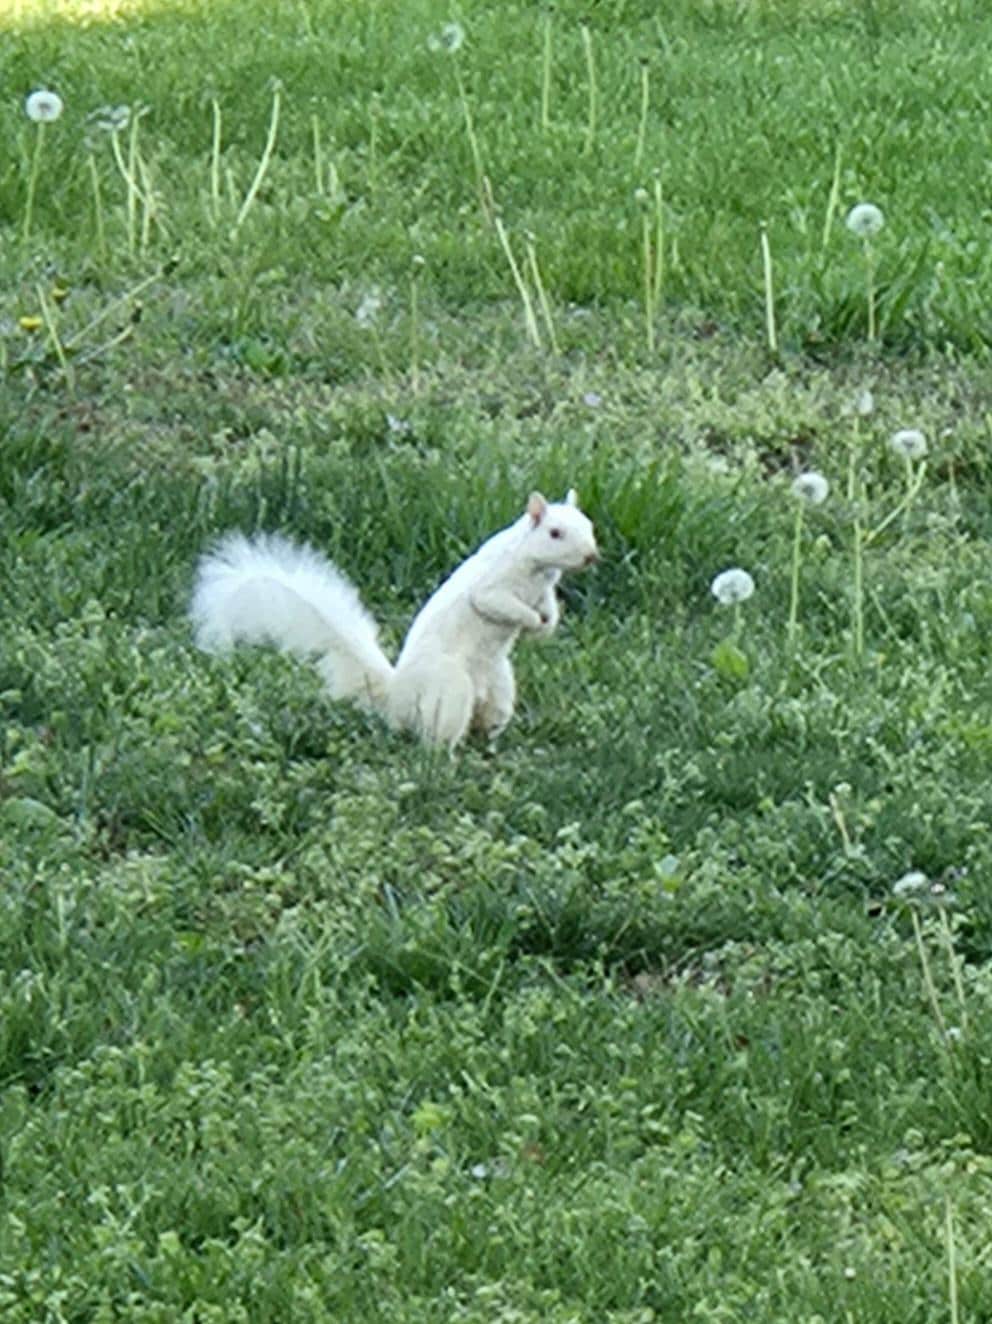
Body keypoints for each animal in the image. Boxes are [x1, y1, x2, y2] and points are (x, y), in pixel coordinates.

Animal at [190, 489, 599, 748]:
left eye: (589, 524)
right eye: (555, 532)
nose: (591, 556)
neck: (537, 571)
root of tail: (397, 695)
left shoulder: (544, 590)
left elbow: (548, 604)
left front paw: (548, 625)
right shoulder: (491, 586)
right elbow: (496, 604)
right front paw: (530, 621)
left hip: (499, 687)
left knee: (486, 721)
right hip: (449, 691)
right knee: (438, 737)